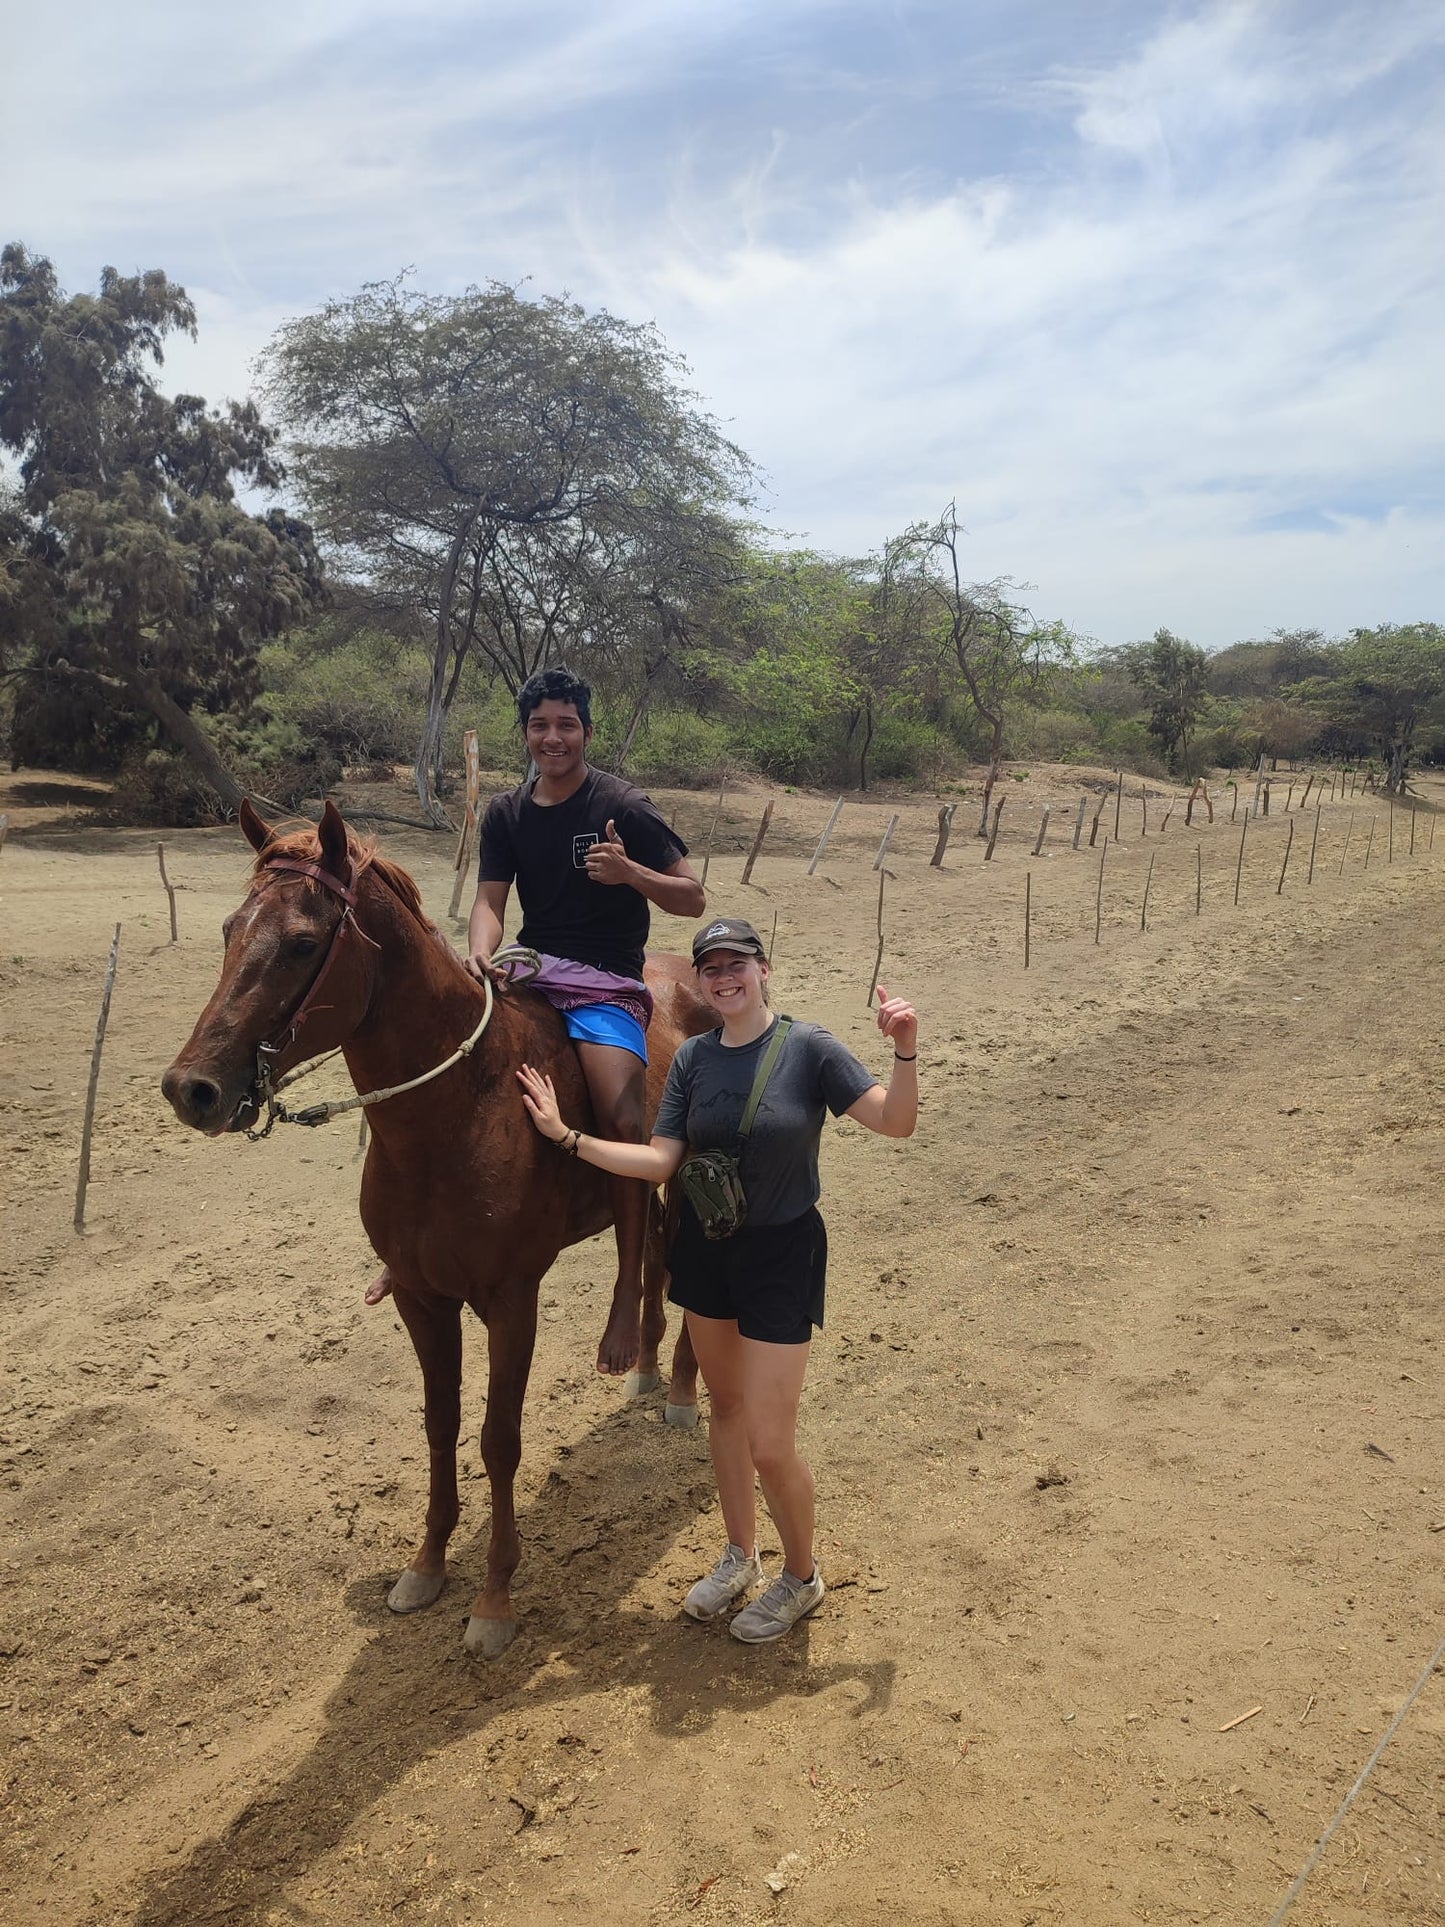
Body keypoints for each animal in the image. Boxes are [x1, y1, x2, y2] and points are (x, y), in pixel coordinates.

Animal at [157, 797, 712, 1657]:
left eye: (304, 942)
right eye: (227, 930)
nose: (193, 1089)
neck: (456, 1112)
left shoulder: (511, 1300)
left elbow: (497, 1437)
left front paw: (494, 1598)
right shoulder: (422, 1299)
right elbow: (440, 1424)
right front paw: (425, 1566)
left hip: (679, 1174)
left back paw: (679, 1386)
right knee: (646, 1247)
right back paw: (644, 1361)